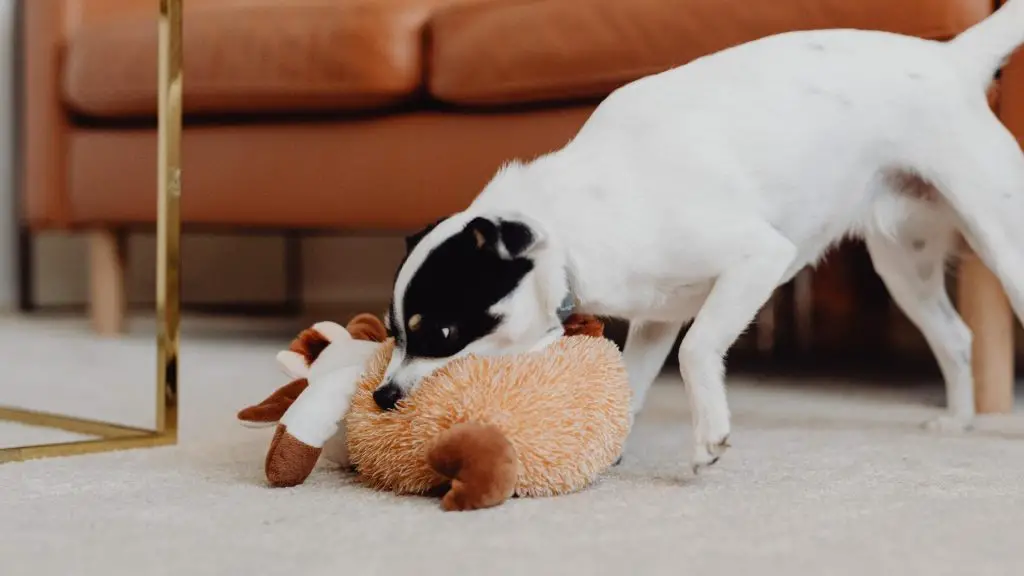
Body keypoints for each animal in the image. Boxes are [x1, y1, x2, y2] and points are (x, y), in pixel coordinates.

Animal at [372, 1, 1024, 471]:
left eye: (443, 334)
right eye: (392, 334)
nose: (383, 397)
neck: (578, 222)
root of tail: (951, 59)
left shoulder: (757, 258)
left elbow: (697, 349)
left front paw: (710, 435)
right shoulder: (657, 313)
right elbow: (631, 383)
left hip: (1001, 242)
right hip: (904, 265)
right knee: (957, 338)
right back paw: (960, 421)